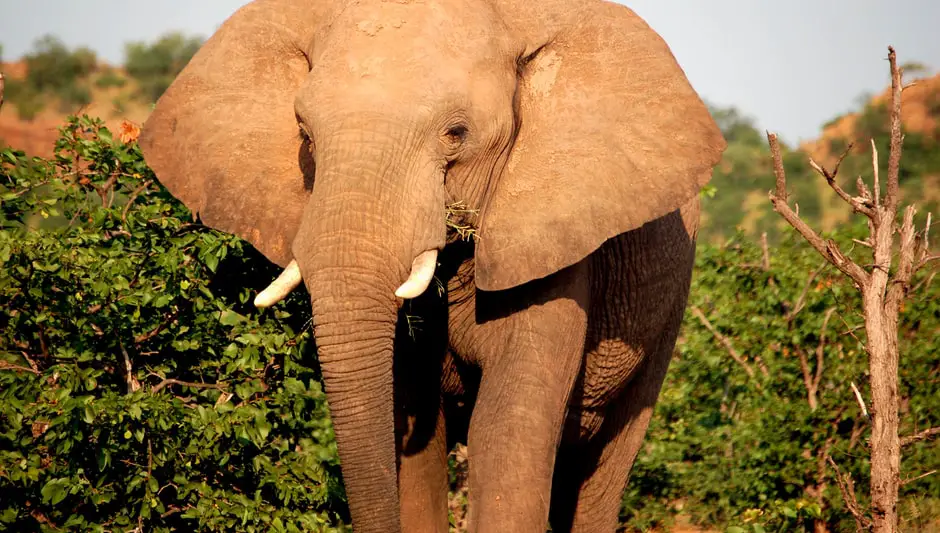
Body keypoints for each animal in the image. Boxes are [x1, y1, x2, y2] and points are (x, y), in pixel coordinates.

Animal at [140, 0, 728, 528]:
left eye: (456, 134)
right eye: (305, 135)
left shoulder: (557, 238)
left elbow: (507, 428)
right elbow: (413, 423)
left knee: (602, 466)